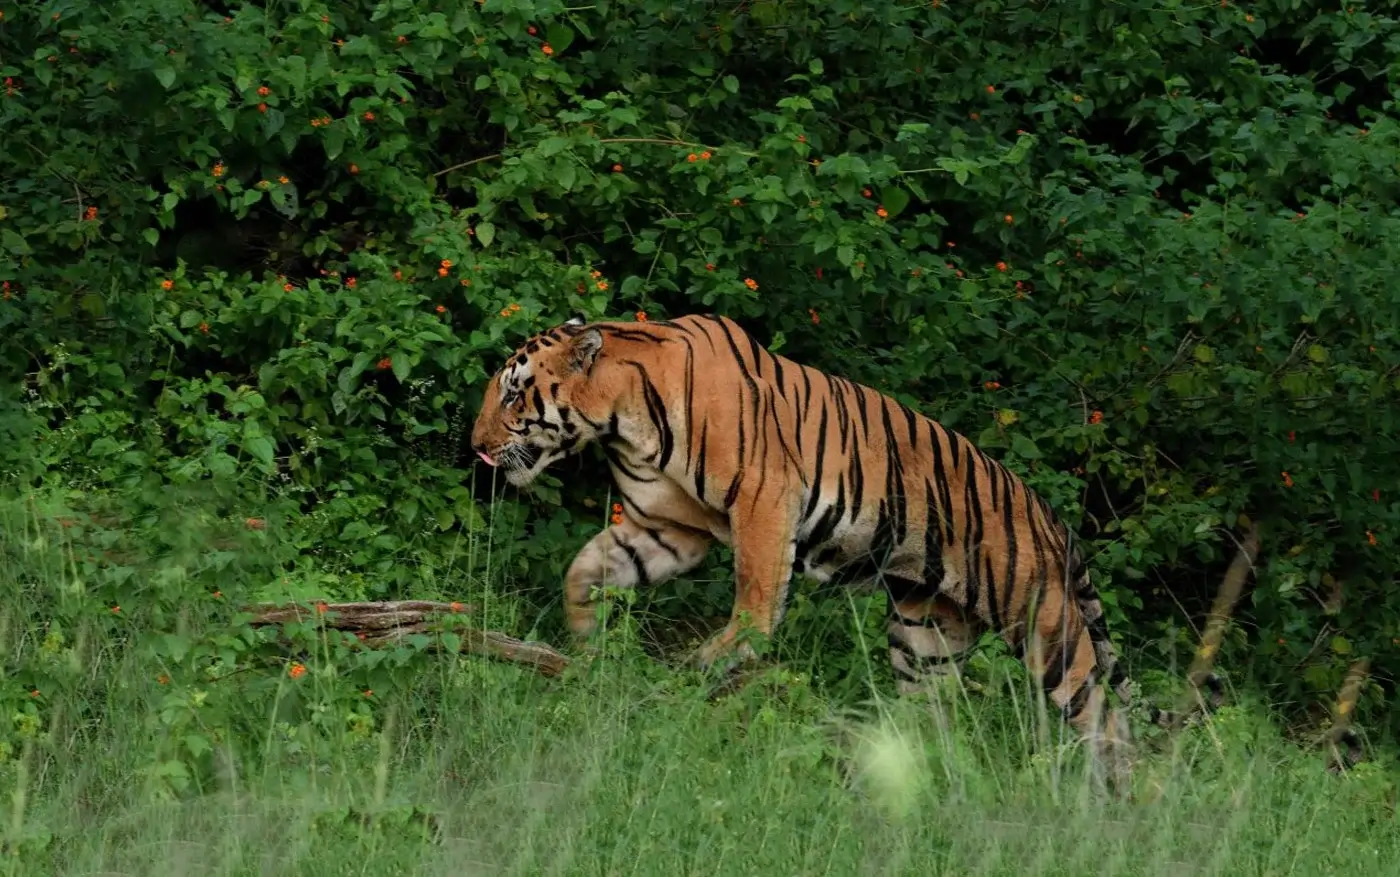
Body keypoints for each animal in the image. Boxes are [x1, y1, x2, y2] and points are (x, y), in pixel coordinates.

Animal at [470, 309, 1215, 784]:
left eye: (513, 392)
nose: (474, 446)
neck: (623, 421)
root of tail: (1052, 519)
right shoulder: (670, 529)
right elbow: (584, 570)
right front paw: (588, 647)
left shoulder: (764, 500)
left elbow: (754, 603)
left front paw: (703, 664)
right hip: (926, 638)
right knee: (932, 715)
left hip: (1045, 624)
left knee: (1106, 717)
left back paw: (1121, 797)